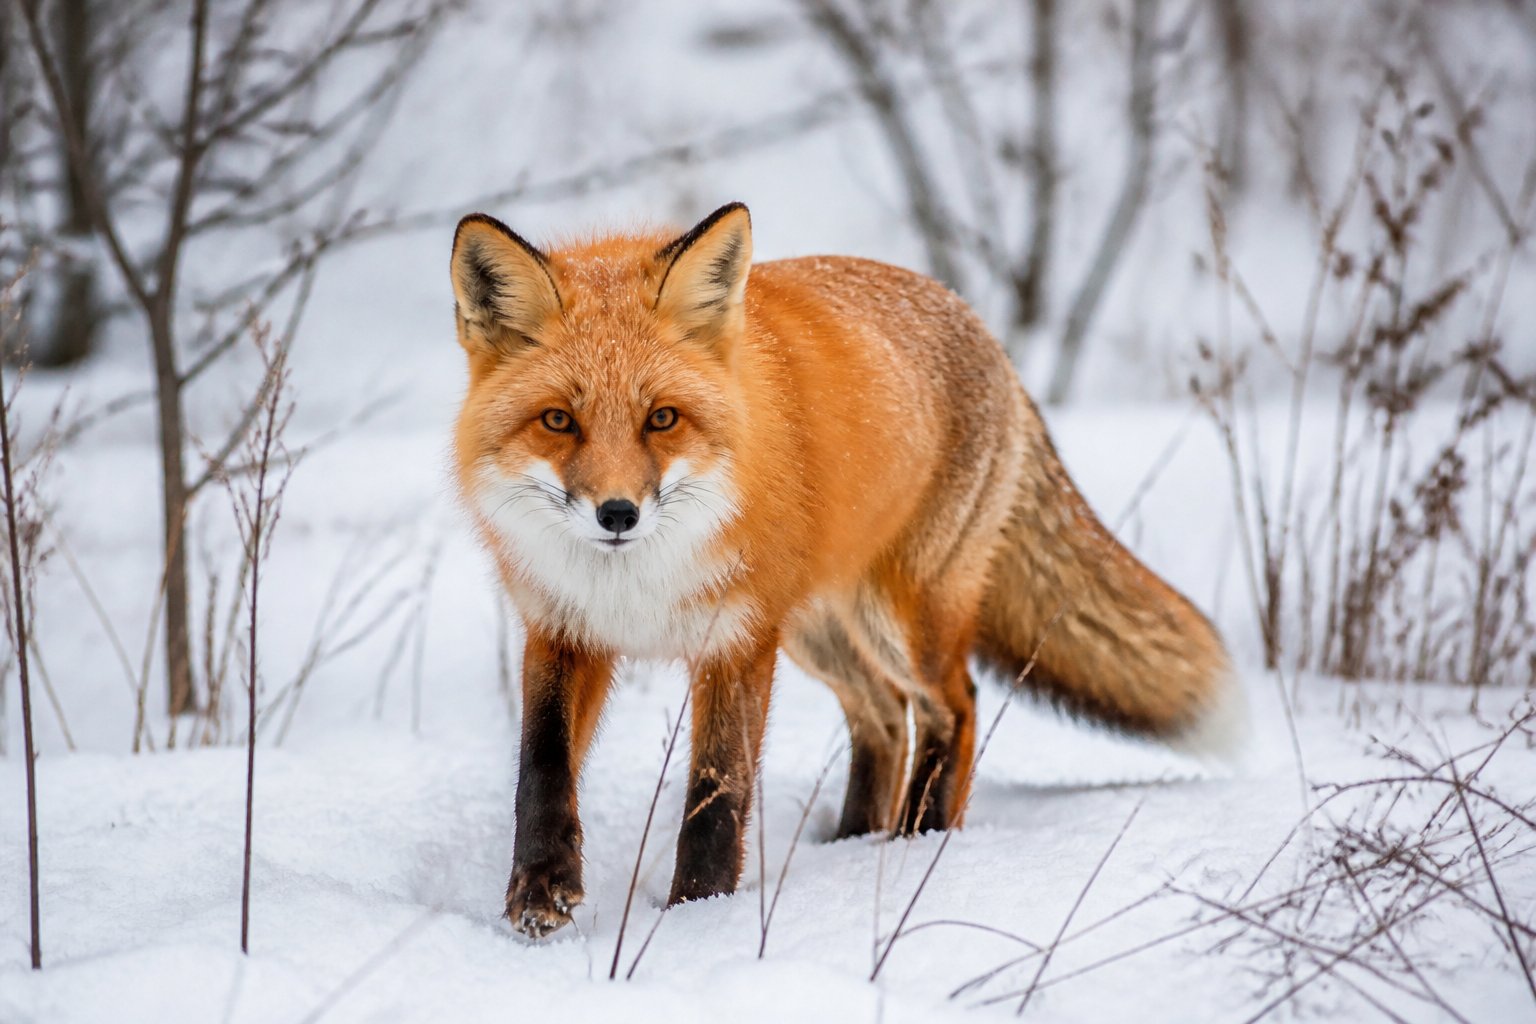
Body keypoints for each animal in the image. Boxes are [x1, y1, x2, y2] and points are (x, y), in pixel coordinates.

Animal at [449, 202, 1242, 938]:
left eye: (662, 419)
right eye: (559, 421)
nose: (618, 514)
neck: (635, 583)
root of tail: (980, 325)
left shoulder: (736, 640)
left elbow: (717, 794)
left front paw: (695, 919)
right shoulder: (561, 627)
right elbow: (541, 769)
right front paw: (540, 892)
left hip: (900, 622)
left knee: (954, 706)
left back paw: (921, 838)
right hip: (819, 632)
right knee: (883, 718)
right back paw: (853, 844)